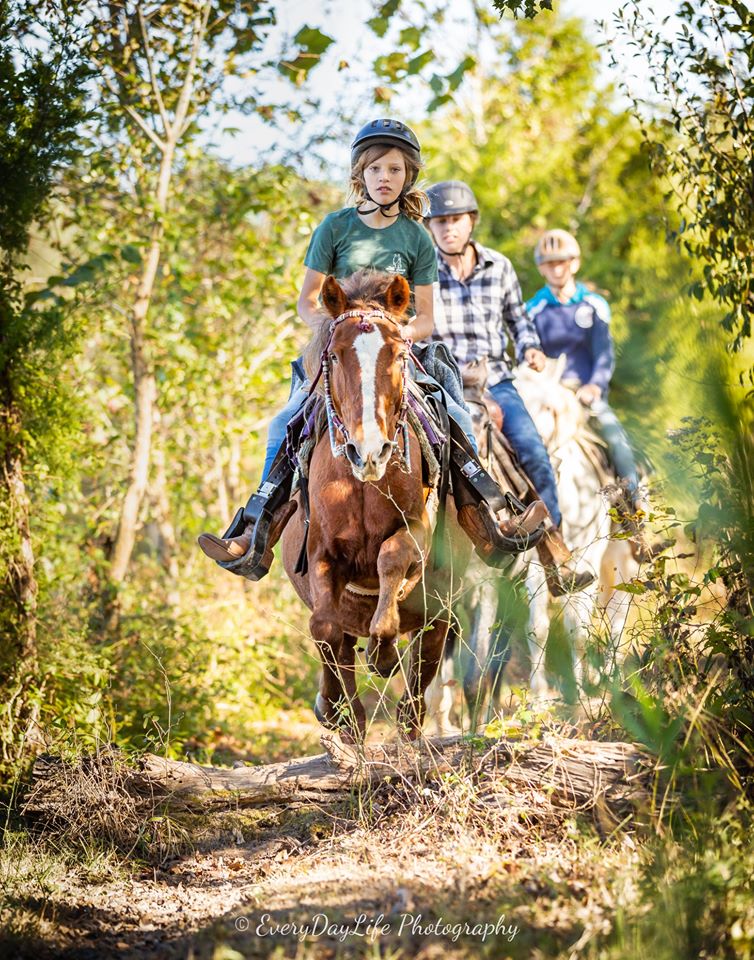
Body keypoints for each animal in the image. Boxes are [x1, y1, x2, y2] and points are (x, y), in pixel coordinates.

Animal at [281, 270, 471, 741]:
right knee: (343, 652)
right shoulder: (320, 552)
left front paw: (383, 653)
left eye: (399, 354)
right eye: (333, 357)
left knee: (417, 689)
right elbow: (324, 627)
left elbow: (391, 555)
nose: (369, 451)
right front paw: (333, 707)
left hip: (439, 611)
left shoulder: (418, 531)